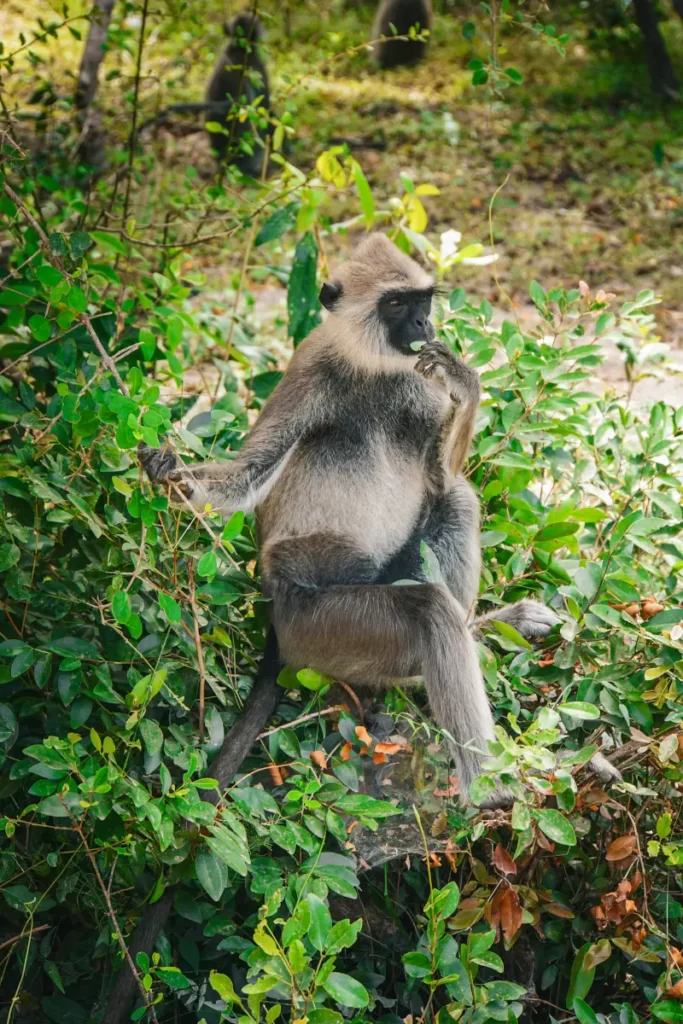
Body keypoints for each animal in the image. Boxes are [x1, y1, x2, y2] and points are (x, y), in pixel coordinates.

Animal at [140, 234, 622, 805]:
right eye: (395, 304)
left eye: (423, 301)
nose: (422, 324)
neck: (372, 366)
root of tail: (279, 627)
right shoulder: (310, 368)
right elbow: (250, 473)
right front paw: (173, 476)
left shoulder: (417, 382)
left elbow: (442, 476)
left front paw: (464, 379)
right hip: (322, 627)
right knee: (428, 612)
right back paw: (493, 790)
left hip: (394, 571)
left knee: (457, 501)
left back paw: (485, 632)